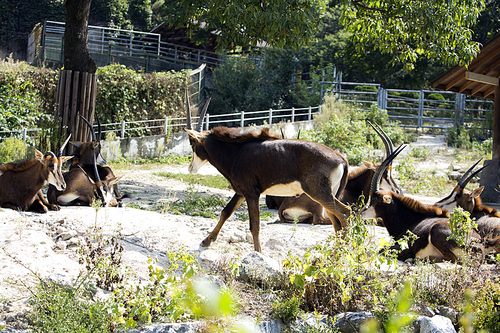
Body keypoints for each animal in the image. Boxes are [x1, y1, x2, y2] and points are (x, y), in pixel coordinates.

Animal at [185, 126, 352, 250]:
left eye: (192, 144)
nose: (190, 168)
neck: (236, 153)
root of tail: (341, 159)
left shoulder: (251, 194)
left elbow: (255, 226)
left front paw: (257, 253)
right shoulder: (240, 192)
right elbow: (225, 212)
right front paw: (207, 240)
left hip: (319, 194)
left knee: (345, 213)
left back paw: (343, 251)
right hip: (326, 197)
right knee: (337, 222)